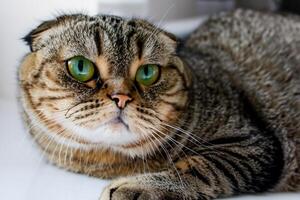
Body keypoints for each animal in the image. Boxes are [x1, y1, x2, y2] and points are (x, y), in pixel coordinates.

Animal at [19, 9, 300, 200]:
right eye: (80, 67)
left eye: (147, 73)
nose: (121, 97)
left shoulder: (252, 144)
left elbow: (197, 166)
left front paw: (137, 186)